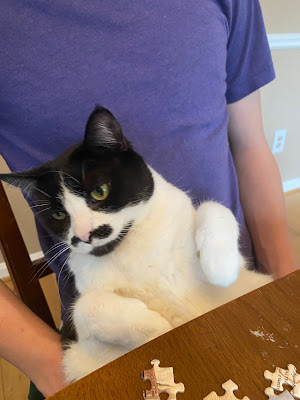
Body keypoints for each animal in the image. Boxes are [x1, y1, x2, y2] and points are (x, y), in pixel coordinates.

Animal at [0, 107, 272, 384]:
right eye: (58, 215)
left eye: (100, 191)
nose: (84, 235)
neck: (130, 246)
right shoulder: (80, 346)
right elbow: (86, 307)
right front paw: (157, 327)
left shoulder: (234, 264)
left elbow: (214, 208)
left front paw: (220, 267)